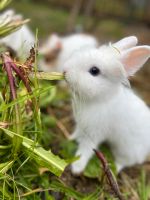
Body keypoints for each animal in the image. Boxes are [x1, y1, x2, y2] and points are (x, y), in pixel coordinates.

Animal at [62, 35, 150, 173]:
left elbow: (85, 149)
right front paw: (70, 138)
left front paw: (77, 168)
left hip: (126, 150)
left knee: (125, 161)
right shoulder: (82, 125)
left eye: (94, 71)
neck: (99, 98)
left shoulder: (94, 133)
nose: (65, 70)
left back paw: (116, 169)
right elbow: (77, 132)